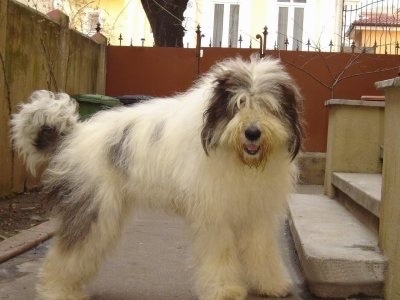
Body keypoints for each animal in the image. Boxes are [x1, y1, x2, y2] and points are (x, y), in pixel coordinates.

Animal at [10, 54, 304, 300]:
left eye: (267, 106)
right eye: (238, 104)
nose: (252, 133)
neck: (237, 157)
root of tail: (75, 135)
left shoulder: (257, 212)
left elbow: (262, 250)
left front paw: (271, 284)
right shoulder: (213, 214)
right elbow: (219, 254)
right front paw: (224, 290)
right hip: (93, 207)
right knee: (68, 252)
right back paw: (58, 290)